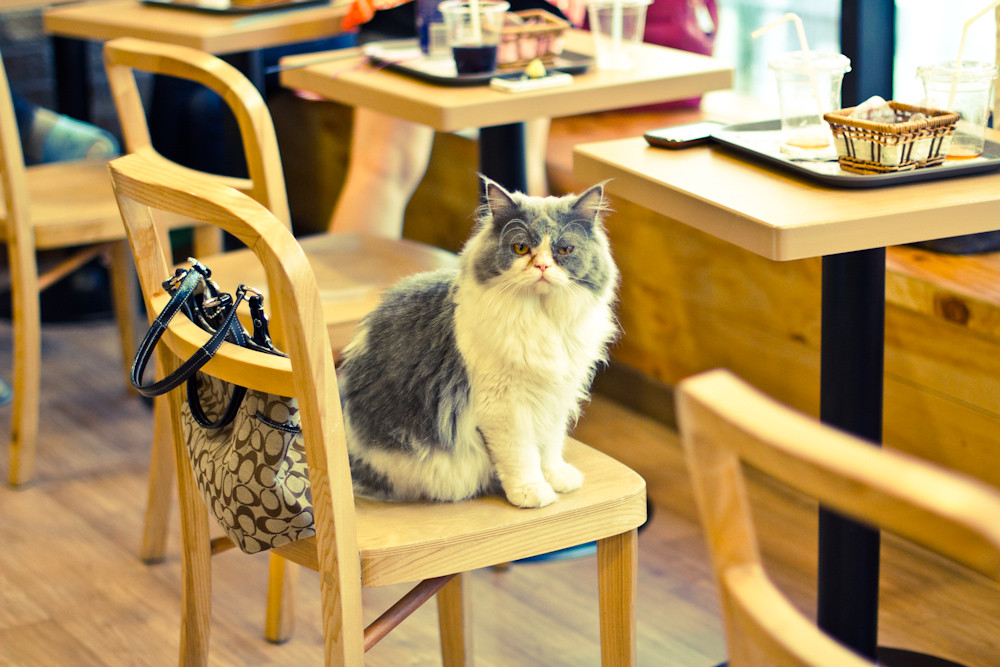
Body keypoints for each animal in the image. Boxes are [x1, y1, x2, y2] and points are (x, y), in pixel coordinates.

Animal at [338, 175, 616, 508]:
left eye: (564, 249)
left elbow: (549, 446)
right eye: (521, 248)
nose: (542, 267)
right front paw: (532, 492)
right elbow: (522, 457)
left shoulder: (555, 397)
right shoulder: (504, 407)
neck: (542, 320)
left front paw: (558, 478)